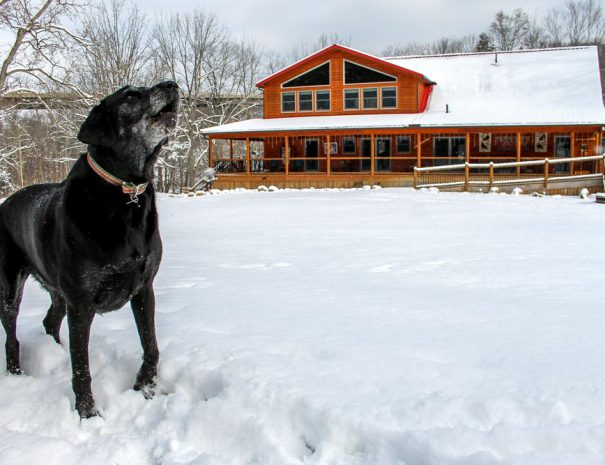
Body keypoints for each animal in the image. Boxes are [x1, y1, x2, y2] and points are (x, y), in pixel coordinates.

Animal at [0, 80, 178, 416]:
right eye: (129, 96)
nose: (172, 84)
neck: (125, 190)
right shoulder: (81, 303)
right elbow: (81, 367)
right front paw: (87, 413)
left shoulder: (144, 288)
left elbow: (152, 346)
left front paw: (144, 386)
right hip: (10, 288)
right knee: (11, 337)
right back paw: (15, 373)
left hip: (58, 292)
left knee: (49, 321)